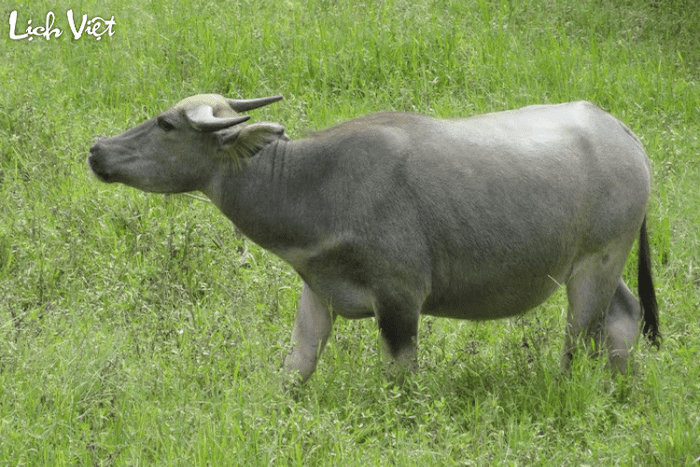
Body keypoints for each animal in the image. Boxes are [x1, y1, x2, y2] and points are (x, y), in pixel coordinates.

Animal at [86, 95, 656, 384]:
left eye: (166, 124)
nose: (97, 149)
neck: (314, 182)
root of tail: (625, 136)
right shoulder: (316, 291)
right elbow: (297, 366)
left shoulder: (400, 299)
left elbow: (401, 379)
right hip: (605, 266)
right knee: (623, 318)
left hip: (596, 266)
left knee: (579, 341)